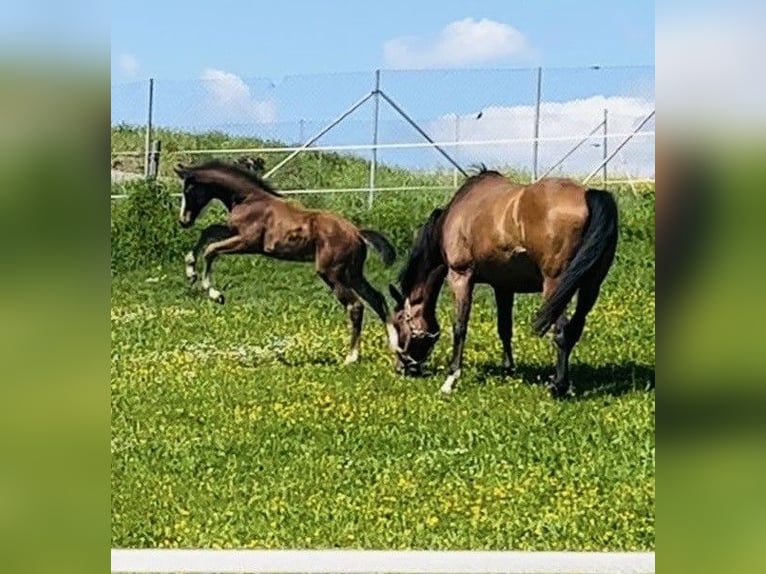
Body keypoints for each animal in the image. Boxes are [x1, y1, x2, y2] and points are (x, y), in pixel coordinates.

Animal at [175, 159, 402, 364]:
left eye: (189, 190)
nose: (184, 221)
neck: (248, 199)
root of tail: (357, 233)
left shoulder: (247, 241)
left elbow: (211, 250)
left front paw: (214, 293)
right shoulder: (233, 232)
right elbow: (208, 232)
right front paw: (191, 272)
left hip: (332, 273)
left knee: (355, 306)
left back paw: (351, 357)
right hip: (353, 273)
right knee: (376, 298)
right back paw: (395, 345)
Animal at [390, 169, 616, 398]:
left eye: (399, 322)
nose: (403, 368)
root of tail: (588, 195)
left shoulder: (460, 276)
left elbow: (460, 326)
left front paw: (451, 378)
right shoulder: (503, 287)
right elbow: (504, 328)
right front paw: (508, 370)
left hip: (556, 287)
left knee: (561, 331)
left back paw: (558, 386)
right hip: (590, 287)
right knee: (574, 329)